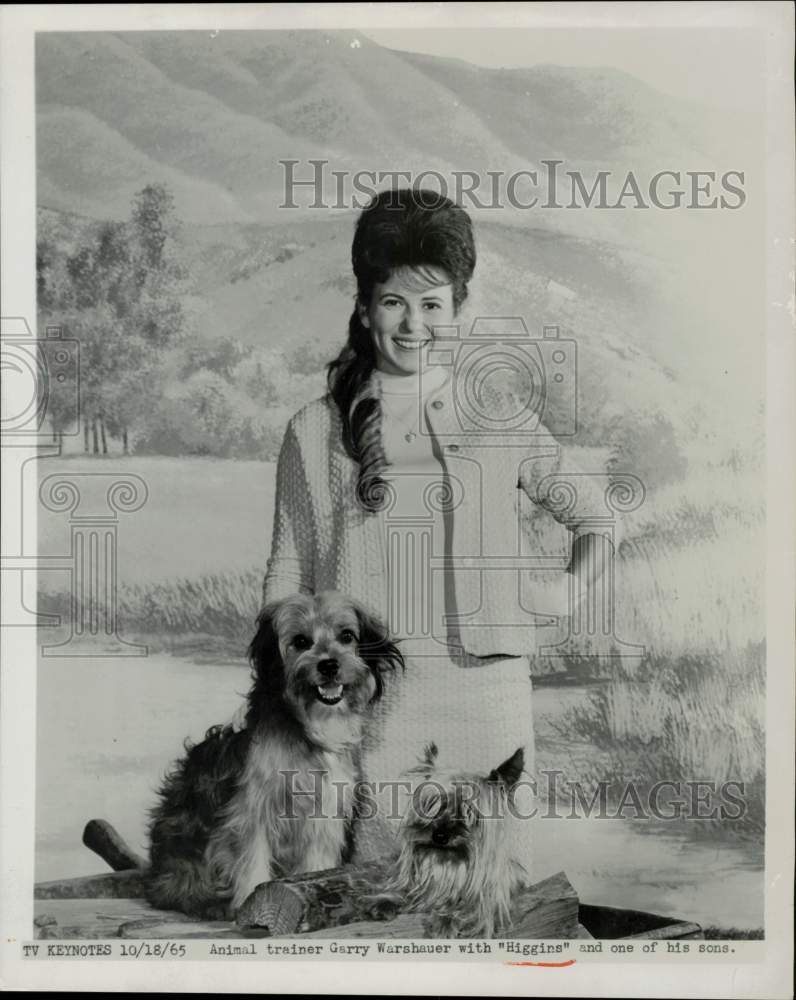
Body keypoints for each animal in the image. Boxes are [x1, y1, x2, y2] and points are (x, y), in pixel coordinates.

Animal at [144, 588, 402, 916]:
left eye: (346, 636)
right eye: (301, 641)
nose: (328, 665)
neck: (307, 723)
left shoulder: (324, 813)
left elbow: (316, 862)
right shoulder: (252, 810)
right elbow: (252, 861)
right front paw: (250, 903)